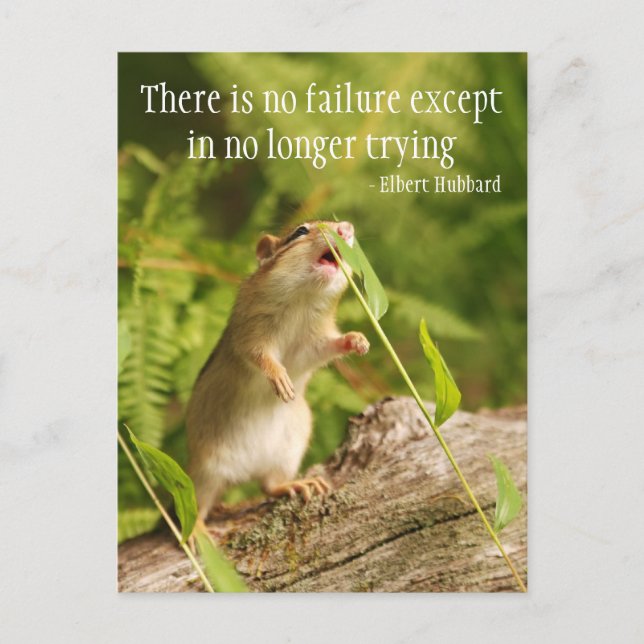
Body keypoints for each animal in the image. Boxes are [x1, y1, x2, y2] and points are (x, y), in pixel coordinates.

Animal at [186, 220, 369, 523]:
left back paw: (297, 484)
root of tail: (244, 473)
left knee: (269, 486)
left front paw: (356, 341)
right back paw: (197, 530)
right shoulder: (250, 332)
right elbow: (259, 355)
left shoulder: (310, 345)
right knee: (195, 509)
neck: (303, 300)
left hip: (288, 453)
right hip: (205, 469)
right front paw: (279, 378)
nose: (346, 227)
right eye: (300, 231)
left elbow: (324, 349)